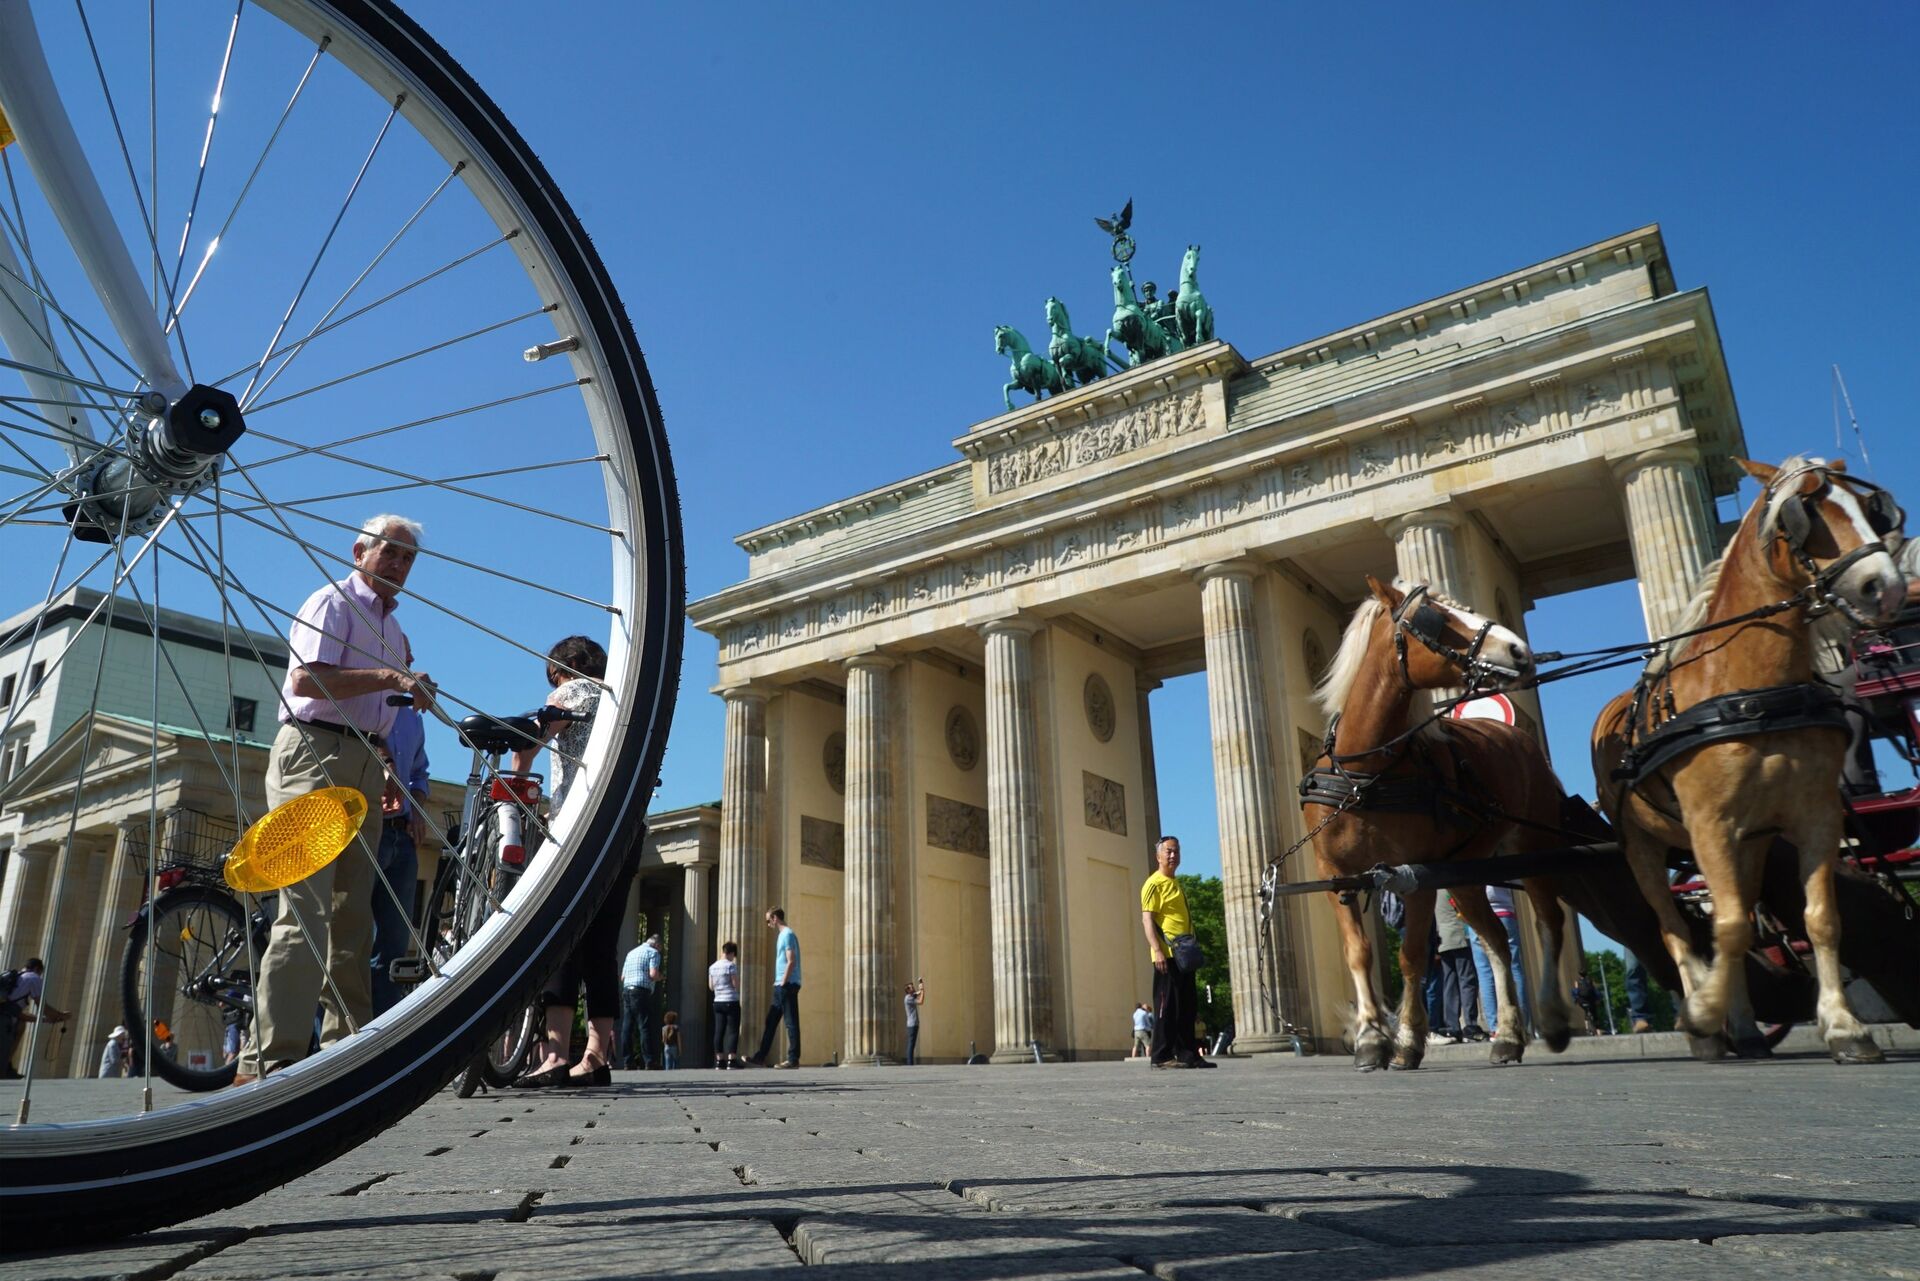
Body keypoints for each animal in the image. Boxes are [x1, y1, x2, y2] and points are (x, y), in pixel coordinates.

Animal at [1305, 580, 1574, 1075]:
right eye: (1433, 618)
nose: (1519, 650)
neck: (1363, 775)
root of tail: (1516, 734)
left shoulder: (1414, 873)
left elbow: (1412, 956)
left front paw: (1407, 1042)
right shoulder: (1337, 875)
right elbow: (1359, 952)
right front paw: (1370, 1039)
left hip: (1533, 846)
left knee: (1549, 922)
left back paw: (1552, 1019)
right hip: (1466, 875)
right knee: (1495, 940)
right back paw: (1508, 1037)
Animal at [1589, 459, 1904, 1060]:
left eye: (1871, 509)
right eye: (1803, 515)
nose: (1886, 587)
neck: (1751, 693)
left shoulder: (1816, 816)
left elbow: (1819, 919)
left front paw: (1844, 1026)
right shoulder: (1709, 822)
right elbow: (1727, 925)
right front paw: (1702, 1013)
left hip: (1750, 841)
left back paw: (1742, 1026)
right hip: (1642, 845)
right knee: (1675, 928)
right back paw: (1707, 1023)